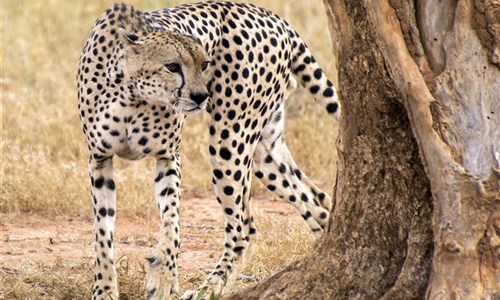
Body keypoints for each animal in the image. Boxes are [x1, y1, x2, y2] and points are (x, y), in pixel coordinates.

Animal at [78, 1, 342, 298]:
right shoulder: (100, 159)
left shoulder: (169, 157)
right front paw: (104, 288)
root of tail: (272, 16)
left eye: (205, 64)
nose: (200, 96)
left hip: (231, 138)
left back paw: (207, 289)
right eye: (172, 66)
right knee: (315, 198)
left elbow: (172, 223)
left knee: (244, 228)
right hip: (264, 152)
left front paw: (164, 280)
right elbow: (102, 232)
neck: (132, 95)